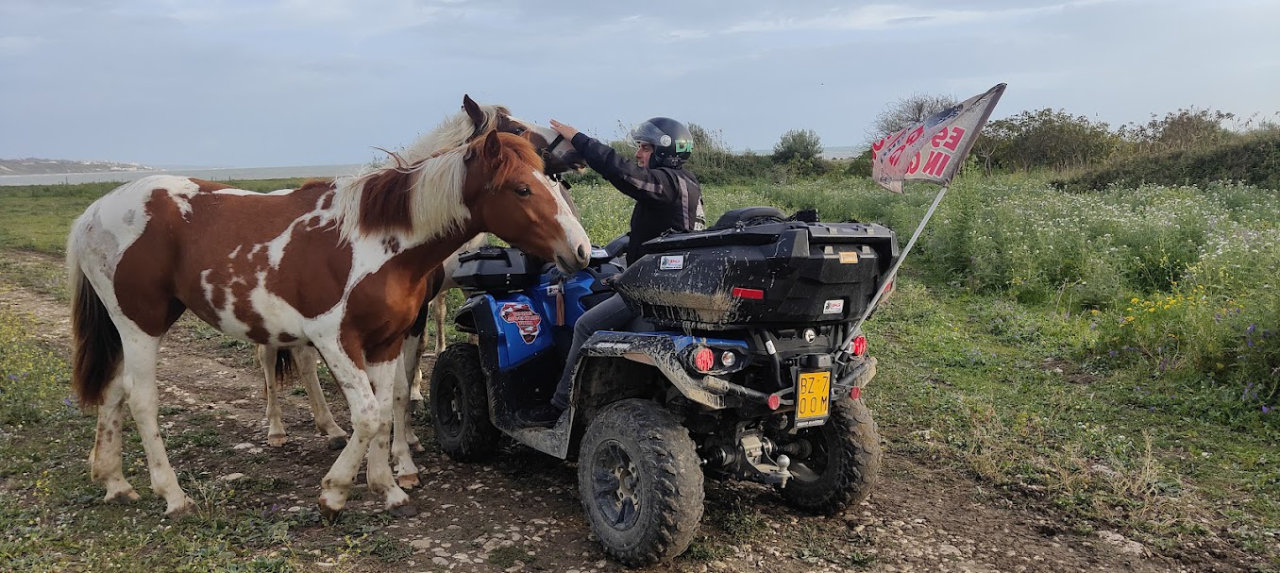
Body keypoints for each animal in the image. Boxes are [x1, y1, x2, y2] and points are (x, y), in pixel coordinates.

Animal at [68, 128, 592, 519]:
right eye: (522, 188)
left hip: (132, 325)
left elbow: (386, 412)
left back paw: (115, 481)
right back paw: (173, 495)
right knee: (140, 398)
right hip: (141, 323)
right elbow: (367, 415)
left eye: (552, 180)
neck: (381, 243)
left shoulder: (386, 341)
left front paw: (387, 486)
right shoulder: (335, 339)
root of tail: (91, 214)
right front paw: (336, 491)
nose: (582, 250)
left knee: (112, 391)